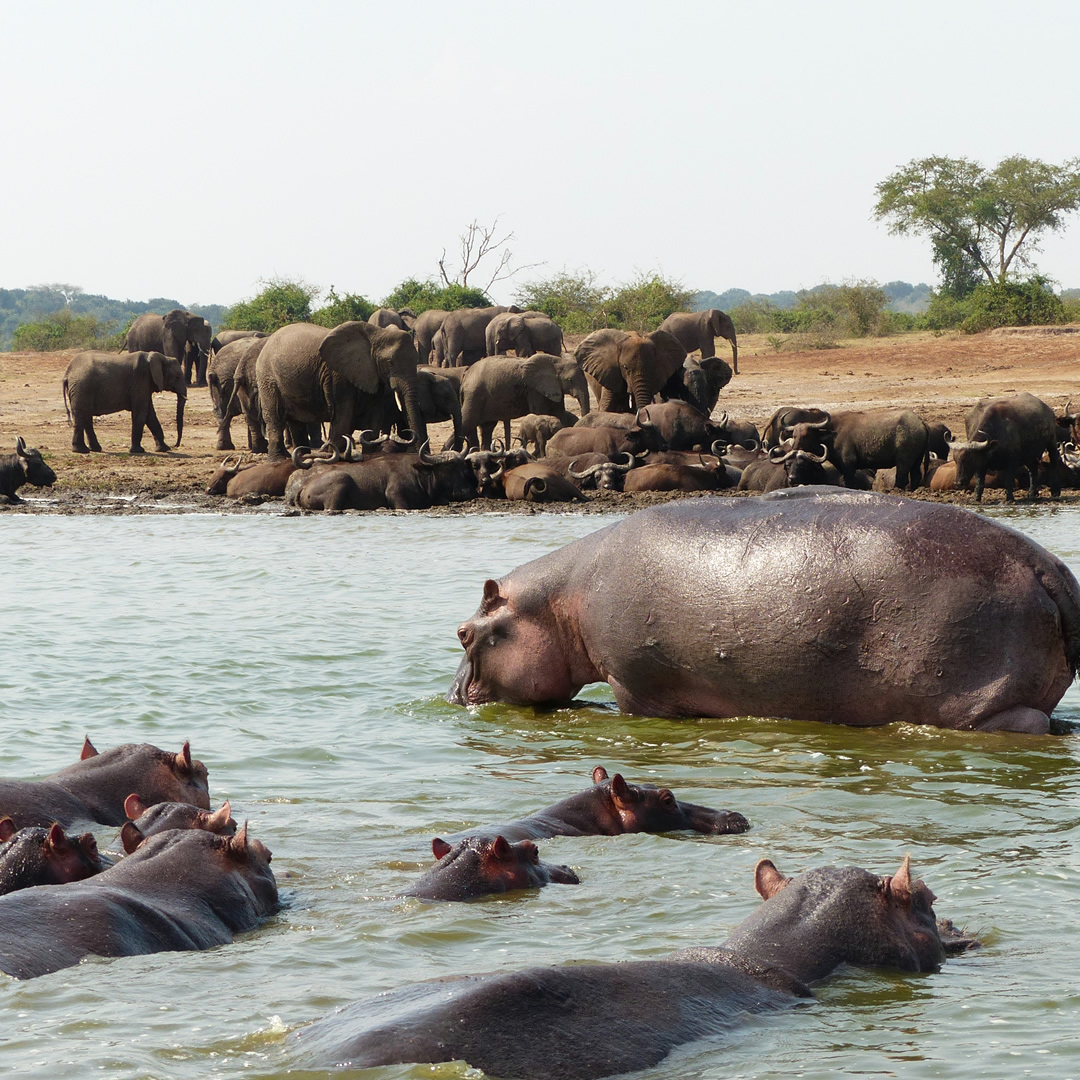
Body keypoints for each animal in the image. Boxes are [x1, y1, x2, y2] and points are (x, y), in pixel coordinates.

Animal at [255, 322, 427, 461]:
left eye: (416, 361)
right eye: (389, 363)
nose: (413, 451)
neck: (376, 334)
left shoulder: (372, 374)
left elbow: (374, 419)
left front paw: (370, 456)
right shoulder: (338, 376)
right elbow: (343, 416)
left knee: (296, 423)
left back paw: (299, 456)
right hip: (267, 379)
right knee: (275, 418)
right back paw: (277, 460)